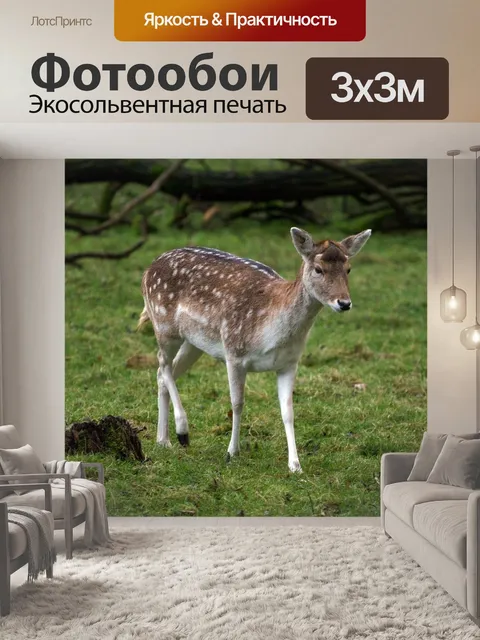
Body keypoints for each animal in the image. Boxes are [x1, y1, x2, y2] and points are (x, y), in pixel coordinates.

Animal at [138, 227, 371, 473]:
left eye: (348, 268)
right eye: (318, 269)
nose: (344, 303)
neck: (273, 334)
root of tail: (147, 270)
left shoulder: (289, 363)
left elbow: (288, 412)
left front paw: (295, 465)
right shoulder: (234, 352)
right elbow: (237, 403)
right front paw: (232, 452)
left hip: (194, 342)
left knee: (163, 372)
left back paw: (163, 440)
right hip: (163, 325)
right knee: (163, 364)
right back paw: (182, 431)